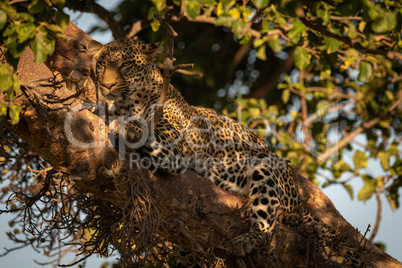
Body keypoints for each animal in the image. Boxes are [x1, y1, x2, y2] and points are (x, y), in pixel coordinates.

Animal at [86, 37, 362, 266]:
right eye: (102, 64)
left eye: (125, 65)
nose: (107, 85)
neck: (129, 102)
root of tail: (300, 201)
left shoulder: (174, 149)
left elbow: (143, 131)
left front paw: (120, 122)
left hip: (266, 167)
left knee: (268, 228)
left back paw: (245, 241)